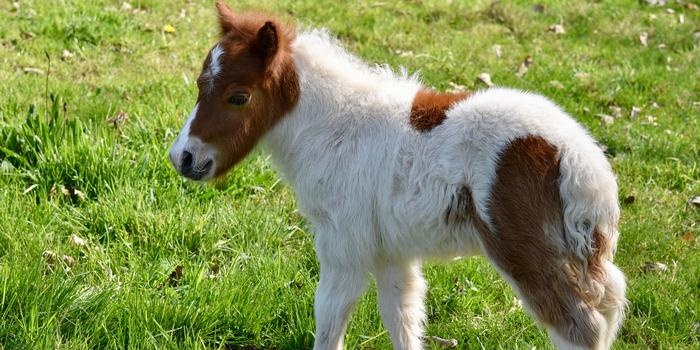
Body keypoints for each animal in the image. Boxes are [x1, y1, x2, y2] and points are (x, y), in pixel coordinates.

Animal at [170, 2, 628, 348]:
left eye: (239, 97)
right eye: (198, 85)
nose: (183, 158)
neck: (334, 126)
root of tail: (577, 158)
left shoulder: (343, 244)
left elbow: (331, 313)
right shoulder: (391, 251)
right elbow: (402, 315)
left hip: (527, 253)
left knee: (580, 326)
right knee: (609, 303)